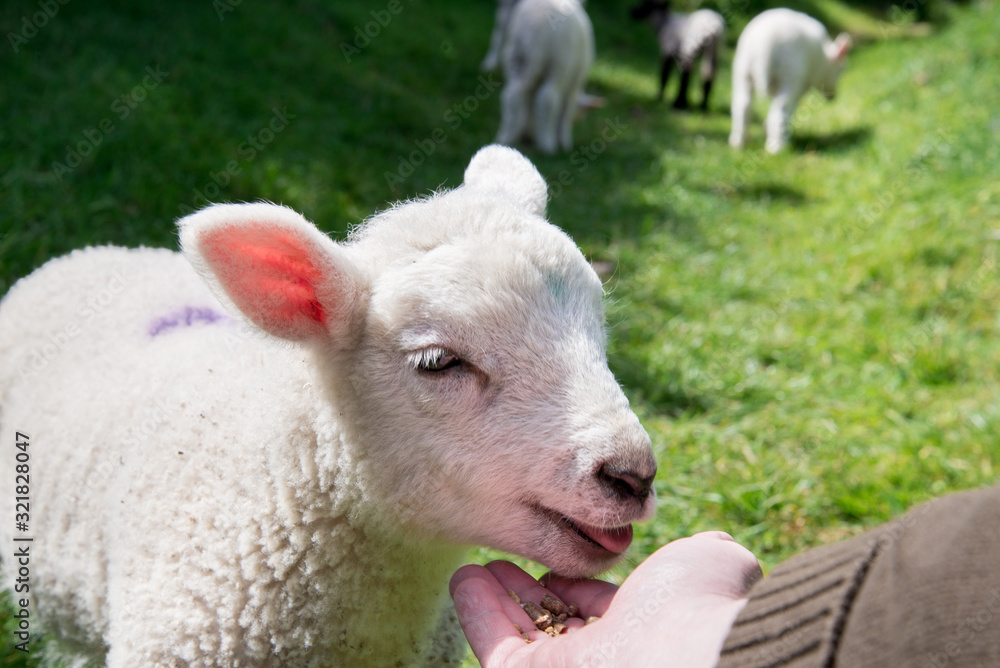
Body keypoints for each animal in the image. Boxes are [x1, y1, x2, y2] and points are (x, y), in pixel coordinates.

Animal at [495, 0, 595, 154]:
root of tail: (532, 30)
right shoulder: (575, 82)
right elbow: (566, 110)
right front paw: (565, 142)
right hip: (559, 65)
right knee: (547, 99)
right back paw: (547, 145)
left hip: (515, 59)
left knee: (511, 95)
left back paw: (506, 136)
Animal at [729, 8, 852, 153]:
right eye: (840, 72)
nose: (833, 97)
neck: (823, 59)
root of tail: (766, 44)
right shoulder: (801, 85)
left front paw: (766, 131)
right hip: (790, 75)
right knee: (780, 110)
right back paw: (778, 147)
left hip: (742, 70)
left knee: (742, 105)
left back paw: (738, 143)